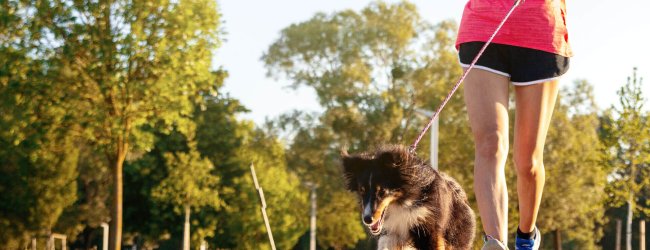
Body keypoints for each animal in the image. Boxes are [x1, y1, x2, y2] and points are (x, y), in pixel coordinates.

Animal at [342, 146, 474, 249]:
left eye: (382, 191)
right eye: (362, 190)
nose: (367, 219)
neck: (402, 202)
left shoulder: (427, 226)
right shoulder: (390, 233)